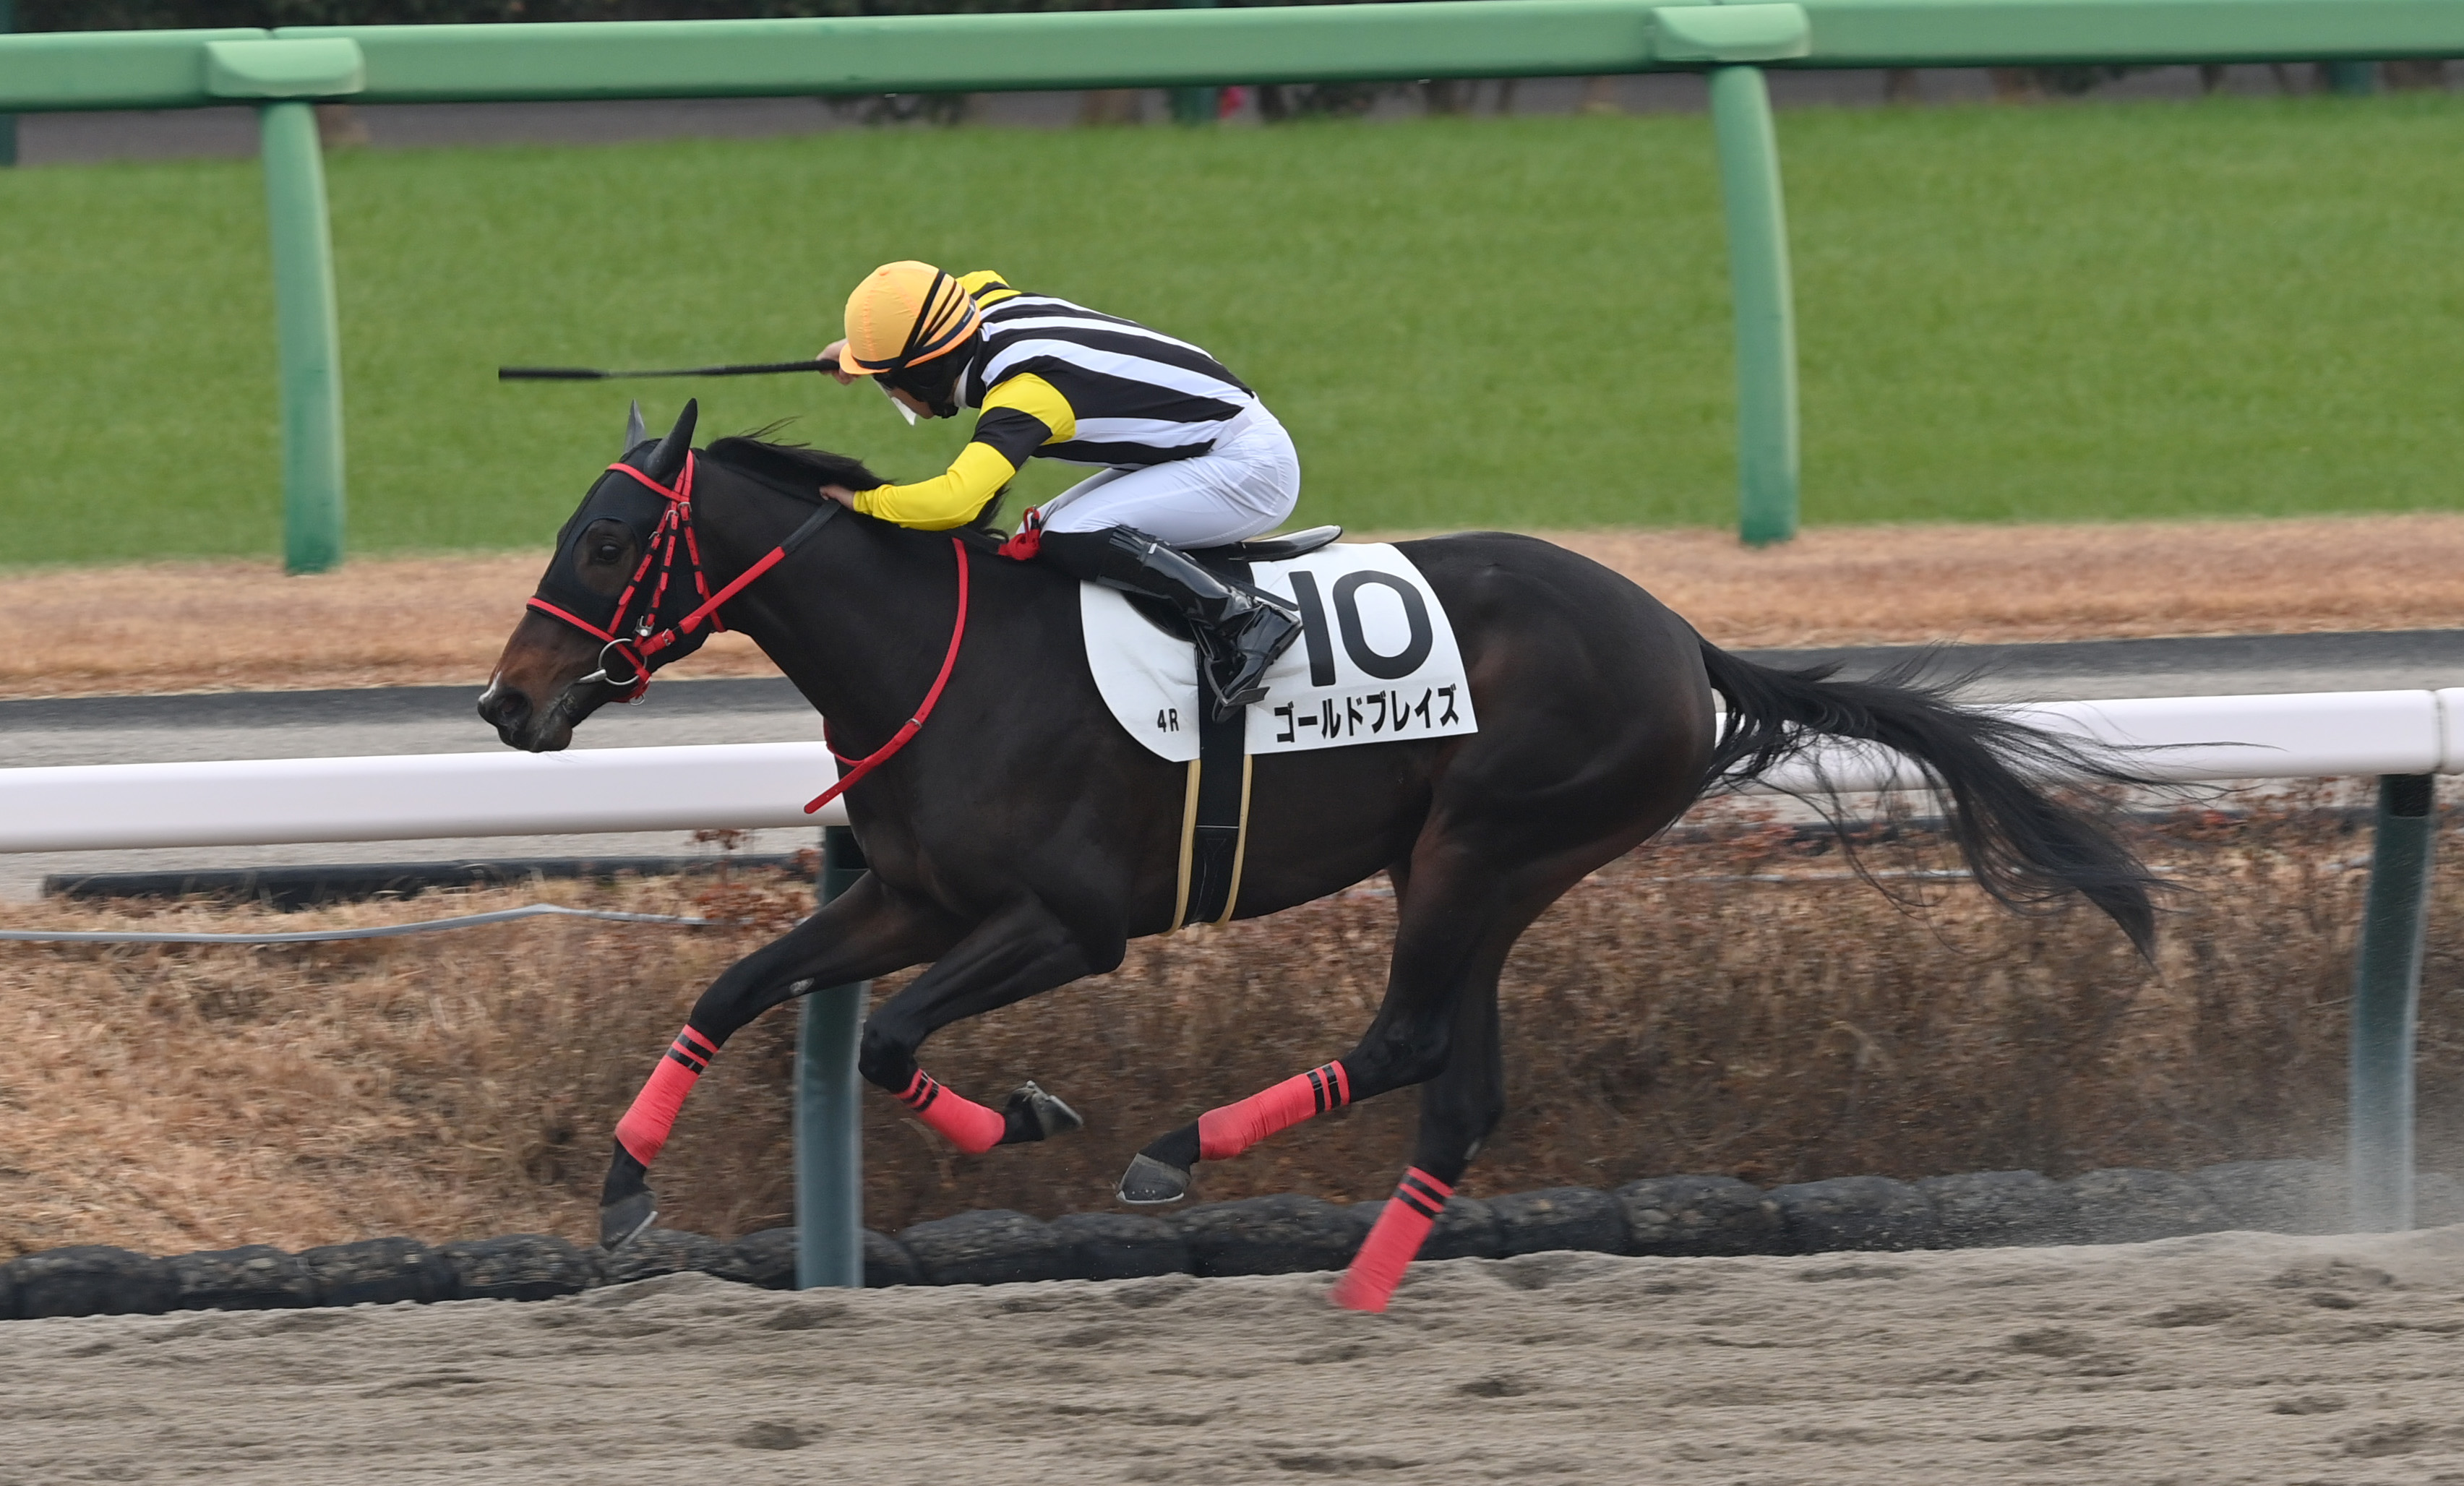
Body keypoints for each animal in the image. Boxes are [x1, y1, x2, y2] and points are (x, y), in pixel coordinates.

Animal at [479, 400, 2158, 1312]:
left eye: (608, 547)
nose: (508, 701)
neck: (935, 656)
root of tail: (1681, 637)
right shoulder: (907, 894)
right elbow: (739, 987)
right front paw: (624, 1191)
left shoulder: (1070, 920)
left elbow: (887, 1040)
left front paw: (1029, 1114)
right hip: (1477, 866)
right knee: (1460, 1086)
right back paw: (1355, 1287)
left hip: (1486, 840)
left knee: (1411, 1037)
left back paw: (1181, 1152)